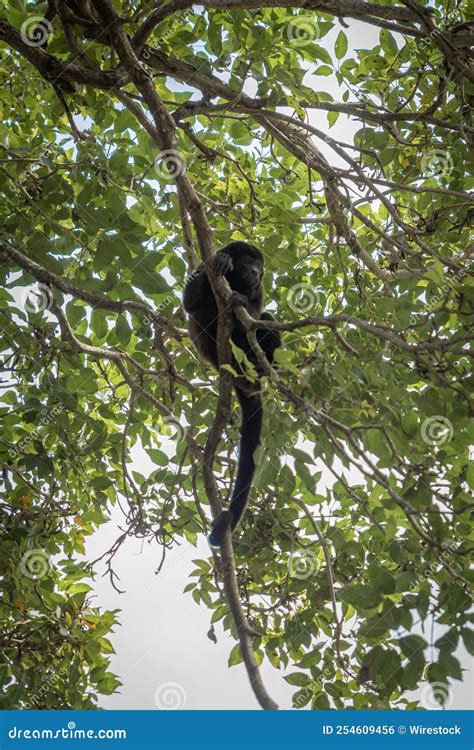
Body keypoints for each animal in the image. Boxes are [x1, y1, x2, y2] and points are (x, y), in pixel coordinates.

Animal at [182, 244, 282, 548]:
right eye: (249, 261)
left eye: (260, 267)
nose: (256, 271)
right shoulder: (201, 268)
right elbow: (189, 303)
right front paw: (222, 261)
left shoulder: (258, 289)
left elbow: (256, 311)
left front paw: (242, 304)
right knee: (206, 315)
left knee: (266, 320)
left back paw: (263, 367)